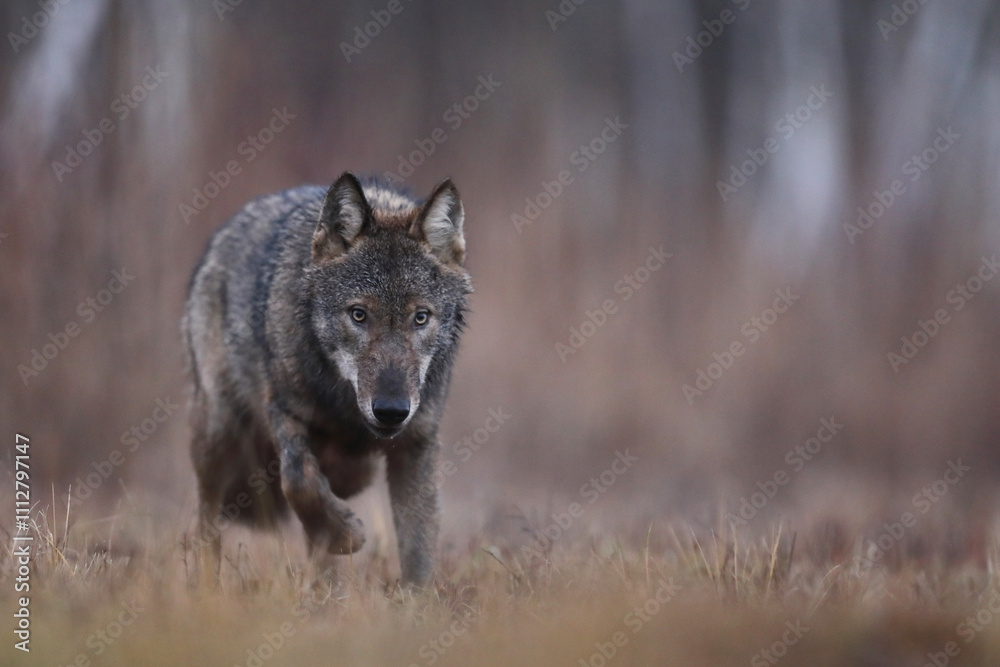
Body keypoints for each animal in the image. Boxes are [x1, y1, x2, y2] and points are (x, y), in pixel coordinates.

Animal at [183, 172, 472, 586]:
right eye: (358, 314)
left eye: (421, 317)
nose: (391, 411)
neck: (346, 412)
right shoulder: (284, 410)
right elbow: (298, 480)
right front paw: (345, 534)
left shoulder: (417, 443)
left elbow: (418, 545)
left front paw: (417, 598)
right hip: (217, 431)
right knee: (205, 520)